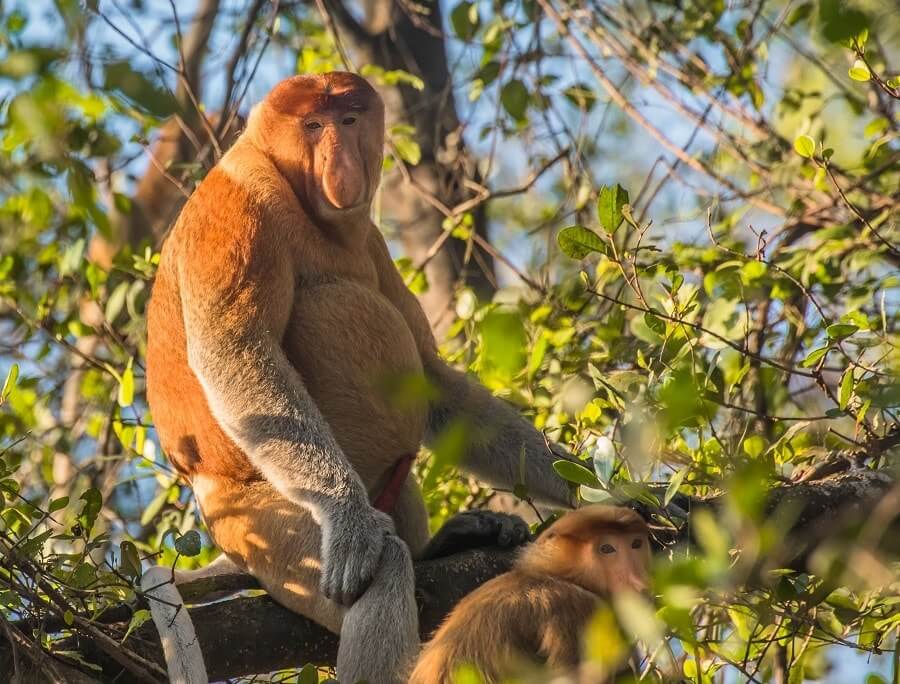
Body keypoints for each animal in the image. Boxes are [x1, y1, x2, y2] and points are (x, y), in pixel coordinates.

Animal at [143, 72, 575, 684]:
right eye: (312, 125)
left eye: (348, 120)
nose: (339, 160)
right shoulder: (242, 204)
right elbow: (237, 350)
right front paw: (351, 524)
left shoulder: (369, 238)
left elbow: (434, 380)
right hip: (260, 524)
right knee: (379, 565)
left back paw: (451, 540)